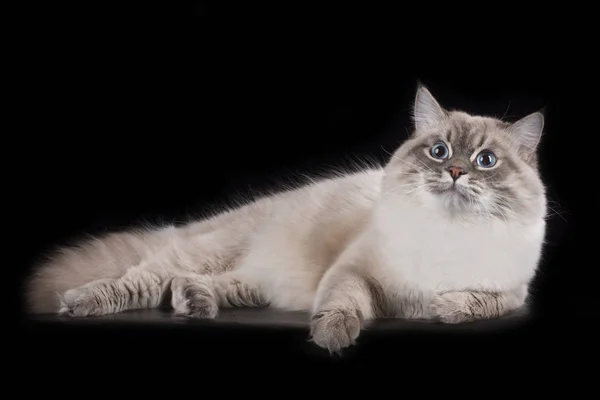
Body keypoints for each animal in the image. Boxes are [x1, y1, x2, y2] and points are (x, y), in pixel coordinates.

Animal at [23, 85, 548, 354]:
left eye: (485, 161)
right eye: (438, 152)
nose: (456, 172)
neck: (448, 234)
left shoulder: (513, 294)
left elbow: (475, 303)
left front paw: (442, 307)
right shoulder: (353, 272)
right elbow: (343, 305)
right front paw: (333, 338)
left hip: (250, 282)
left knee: (193, 284)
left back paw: (195, 303)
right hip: (205, 252)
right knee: (141, 281)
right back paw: (79, 302)